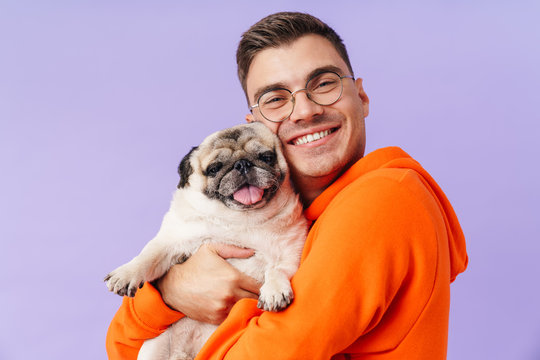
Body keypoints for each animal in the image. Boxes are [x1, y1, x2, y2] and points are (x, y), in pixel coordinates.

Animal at [105, 122, 308, 358]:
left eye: (266, 157)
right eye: (214, 168)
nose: (242, 164)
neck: (241, 221)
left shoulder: (289, 250)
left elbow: (277, 269)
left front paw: (274, 291)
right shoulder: (171, 240)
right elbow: (149, 255)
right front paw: (126, 274)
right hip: (155, 347)